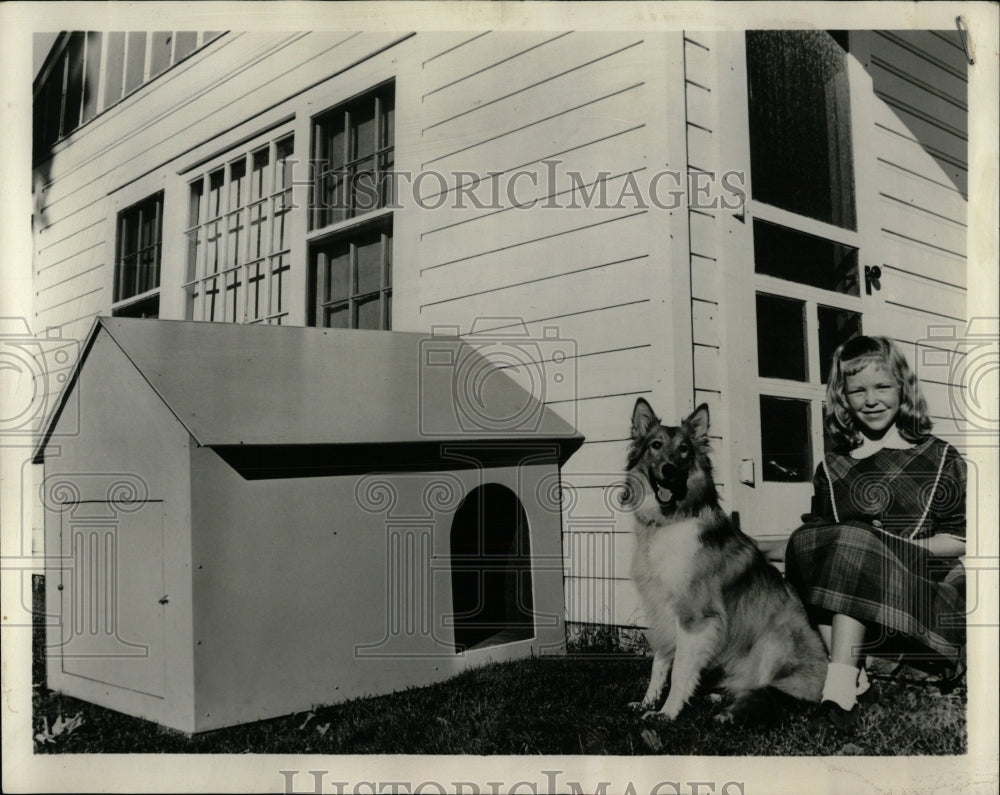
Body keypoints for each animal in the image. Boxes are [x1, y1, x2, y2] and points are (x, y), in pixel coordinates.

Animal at [624, 402, 828, 724]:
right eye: (655, 445)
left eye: (684, 449)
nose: (669, 470)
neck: (671, 520)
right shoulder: (664, 607)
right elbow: (660, 662)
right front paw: (647, 702)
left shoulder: (695, 615)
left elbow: (680, 669)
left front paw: (667, 712)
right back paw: (718, 697)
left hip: (775, 637)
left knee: (773, 693)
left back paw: (729, 714)